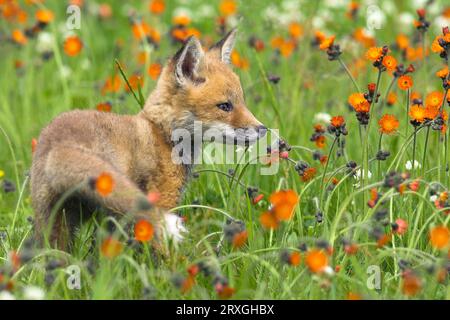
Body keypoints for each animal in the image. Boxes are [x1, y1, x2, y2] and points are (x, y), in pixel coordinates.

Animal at [30, 30, 268, 249]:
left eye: (242, 102)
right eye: (225, 106)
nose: (263, 129)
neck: (162, 132)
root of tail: (60, 143)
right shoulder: (164, 197)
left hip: (57, 225)